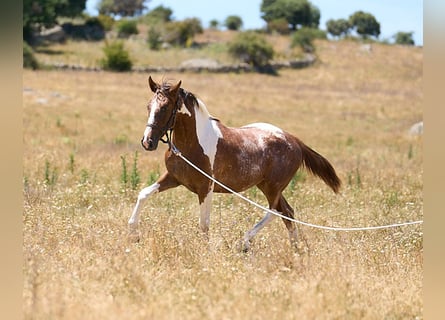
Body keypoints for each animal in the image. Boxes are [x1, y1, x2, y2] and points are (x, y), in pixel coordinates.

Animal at [128, 76, 340, 251]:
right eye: (148, 106)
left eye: (164, 108)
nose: (147, 142)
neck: (192, 143)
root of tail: (295, 141)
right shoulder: (173, 178)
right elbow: (143, 193)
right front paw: (133, 234)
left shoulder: (205, 188)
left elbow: (204, 224)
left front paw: (206, 251)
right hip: (267, 186)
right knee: (287, 212)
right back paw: (296, 249)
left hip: (273, 187)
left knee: (273, 212)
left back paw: (243, 243)